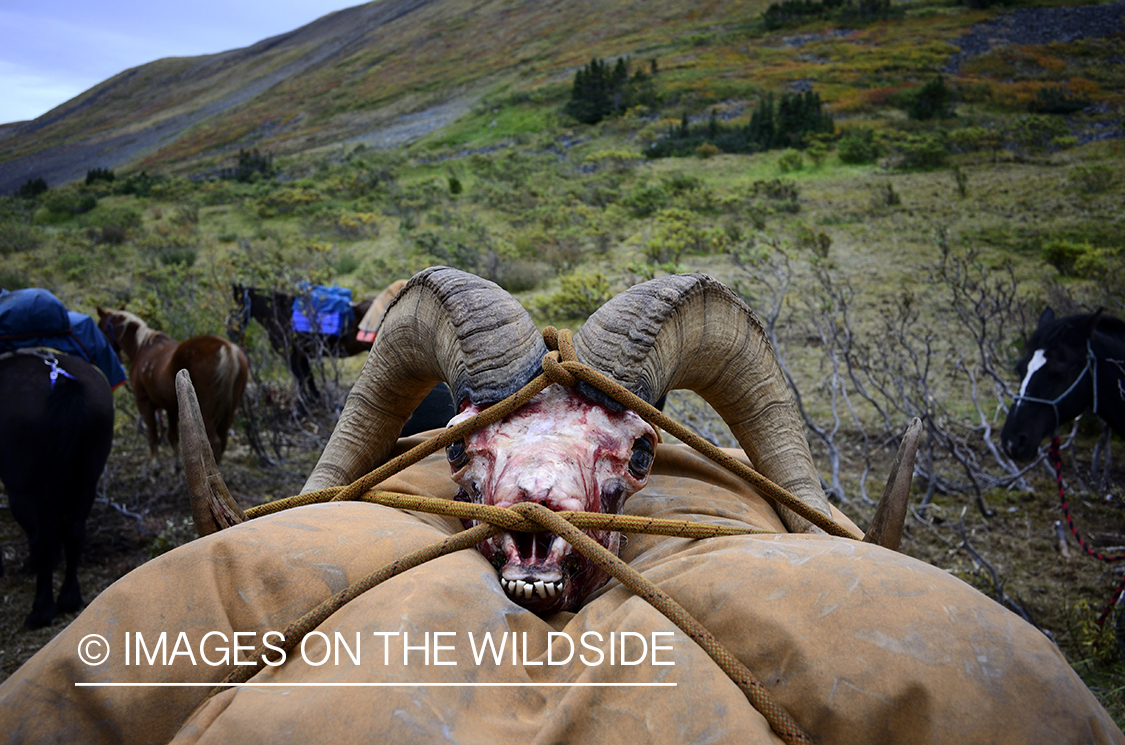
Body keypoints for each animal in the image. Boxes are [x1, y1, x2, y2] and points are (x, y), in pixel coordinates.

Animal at [0, 351, 114, 630]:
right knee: (73, 530)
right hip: (89, 477)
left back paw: (42, 609)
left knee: (41, 537)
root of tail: (62, 379)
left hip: (23, 485)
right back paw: (70, 597)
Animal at [97, 308, 249, 461]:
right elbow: (173, 437)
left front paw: (155, 466)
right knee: (222, 442)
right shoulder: (170, 406)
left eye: (100, 327)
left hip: (206, 411)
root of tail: (227, 348)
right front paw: (176, 466)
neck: (142, 347)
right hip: (229, 411)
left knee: (214, 443)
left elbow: (153, 437)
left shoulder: (144, 401)